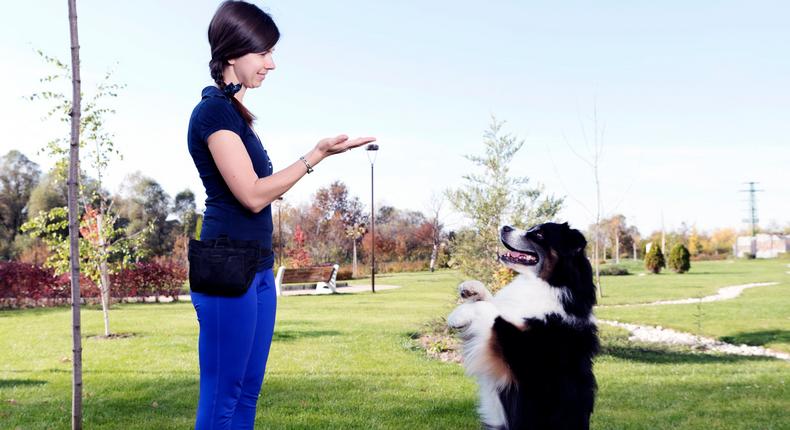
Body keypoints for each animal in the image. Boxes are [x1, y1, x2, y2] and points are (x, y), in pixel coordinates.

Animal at [448, 223, 596, 428]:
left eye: (539, 234)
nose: (505, 227)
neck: (550, 284)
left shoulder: (524, 356)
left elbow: (494, 313)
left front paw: (458, 315)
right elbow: (494, 302)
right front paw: (472, 288)